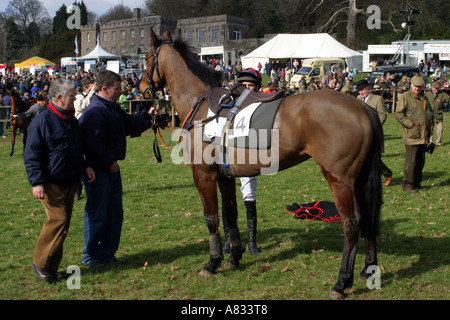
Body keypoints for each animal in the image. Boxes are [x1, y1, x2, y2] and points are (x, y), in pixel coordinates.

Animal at [142, 30, 384, 300]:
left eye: (147, 57)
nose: (141, 86)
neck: (201, 105)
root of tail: (362, 107)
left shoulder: (203, 175)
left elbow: (211, 218)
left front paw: (213, 262)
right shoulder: (225, 176)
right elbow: (231, 214)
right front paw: (234, 257)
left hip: (339, 180)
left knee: (351, 224)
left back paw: (342, 282)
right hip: (360, 179)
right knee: (368, 218)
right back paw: (367, 270)